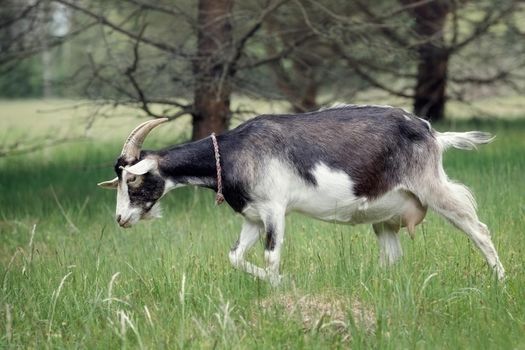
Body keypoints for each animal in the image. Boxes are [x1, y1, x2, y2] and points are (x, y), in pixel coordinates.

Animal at [97, 104, 504, 284]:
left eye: (132, 181)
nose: (120, 219)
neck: (234, 151)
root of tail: (432, 133)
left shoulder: (275, 210)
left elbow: (271, 257)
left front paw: (280, 288)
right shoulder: (253, 217)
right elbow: (234, 257)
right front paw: (280, 284)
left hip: (431, 186)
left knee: (478, 228)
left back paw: (500, 282)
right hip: (385, 216)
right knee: (392, 256)